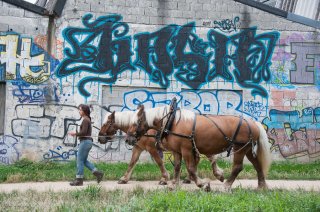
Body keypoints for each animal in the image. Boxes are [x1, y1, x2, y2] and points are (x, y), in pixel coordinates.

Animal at [126, 105, 272, 190]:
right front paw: (174, 184)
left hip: (239, 148)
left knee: (237, 167)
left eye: (136, 122)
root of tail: (253, 122)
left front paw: (202, 184)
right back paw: (262, 186)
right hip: (247, 149)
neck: (172, 122)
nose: (128, 139)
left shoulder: (186, 149)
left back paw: (226, 186)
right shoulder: (177, 151)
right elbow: (177, 167)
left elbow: (191, 168)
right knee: (258, 166)